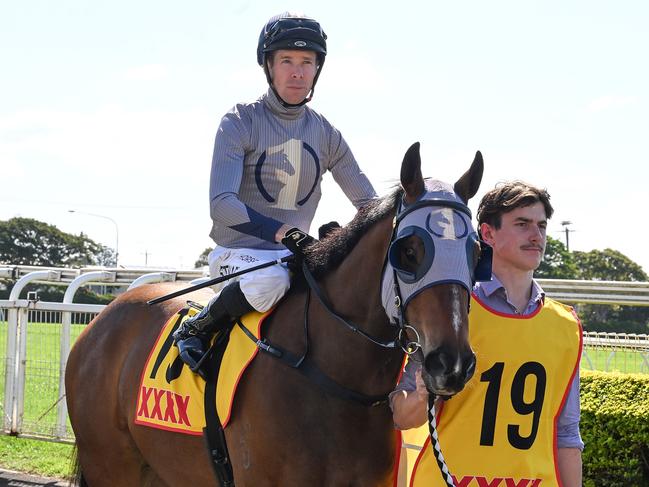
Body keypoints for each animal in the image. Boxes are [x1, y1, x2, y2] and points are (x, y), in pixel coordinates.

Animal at [66, 143, 484, 486]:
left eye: (476, 252)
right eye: (409, 251)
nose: (451, 363)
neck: (330, 377)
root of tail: (102, 320)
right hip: (111, 465)